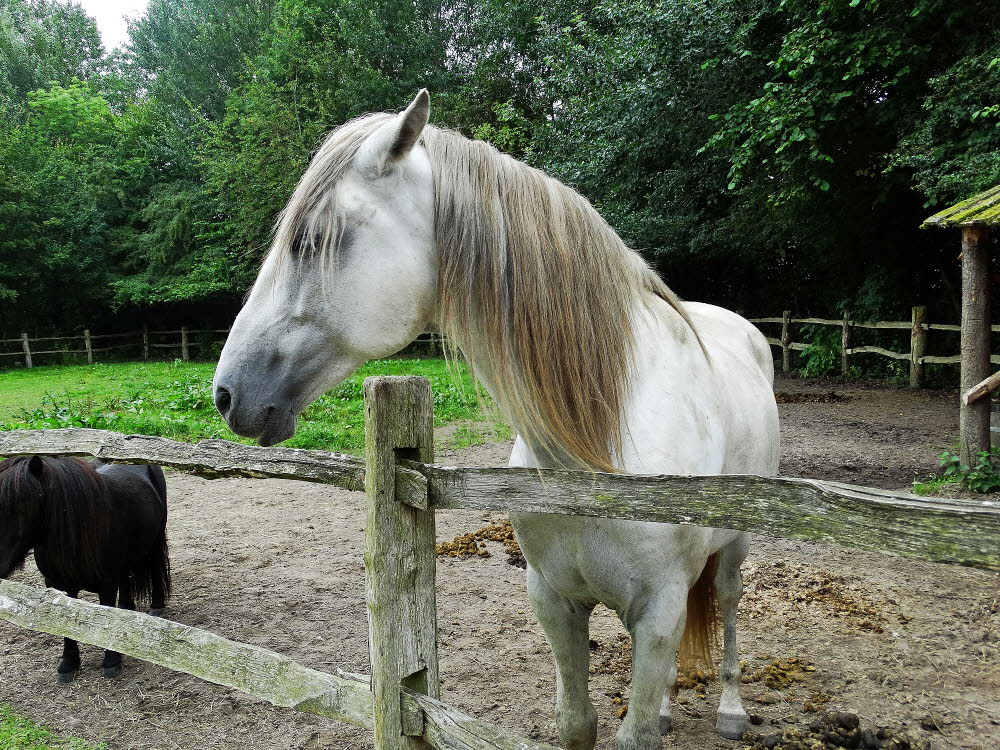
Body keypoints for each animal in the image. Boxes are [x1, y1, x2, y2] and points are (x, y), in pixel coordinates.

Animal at [0, 456, 170, 684]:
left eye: (24, 505)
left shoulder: (107, 584)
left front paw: (111, 661)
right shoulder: (57, 586)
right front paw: (68, 665)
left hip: (155, 541)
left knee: (155, 568)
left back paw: (156, 605)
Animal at [213, 91, 780, 748]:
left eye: (311, 239)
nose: (225, 393)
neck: (598, 451)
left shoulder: (659, 611)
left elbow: (634, 734)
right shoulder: (554, 600)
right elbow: (578, 722)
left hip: (736, 546)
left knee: (730, 606)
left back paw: (732, 708)